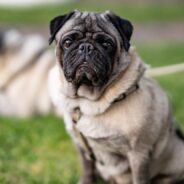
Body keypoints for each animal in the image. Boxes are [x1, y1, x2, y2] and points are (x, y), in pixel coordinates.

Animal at [48, 10, 184, 184]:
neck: (89, 101)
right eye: (68, 42)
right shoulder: (81, 146)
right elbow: (87, 169)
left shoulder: (138, 154)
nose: (86, 47)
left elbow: (140, 178)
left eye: (107, 44)